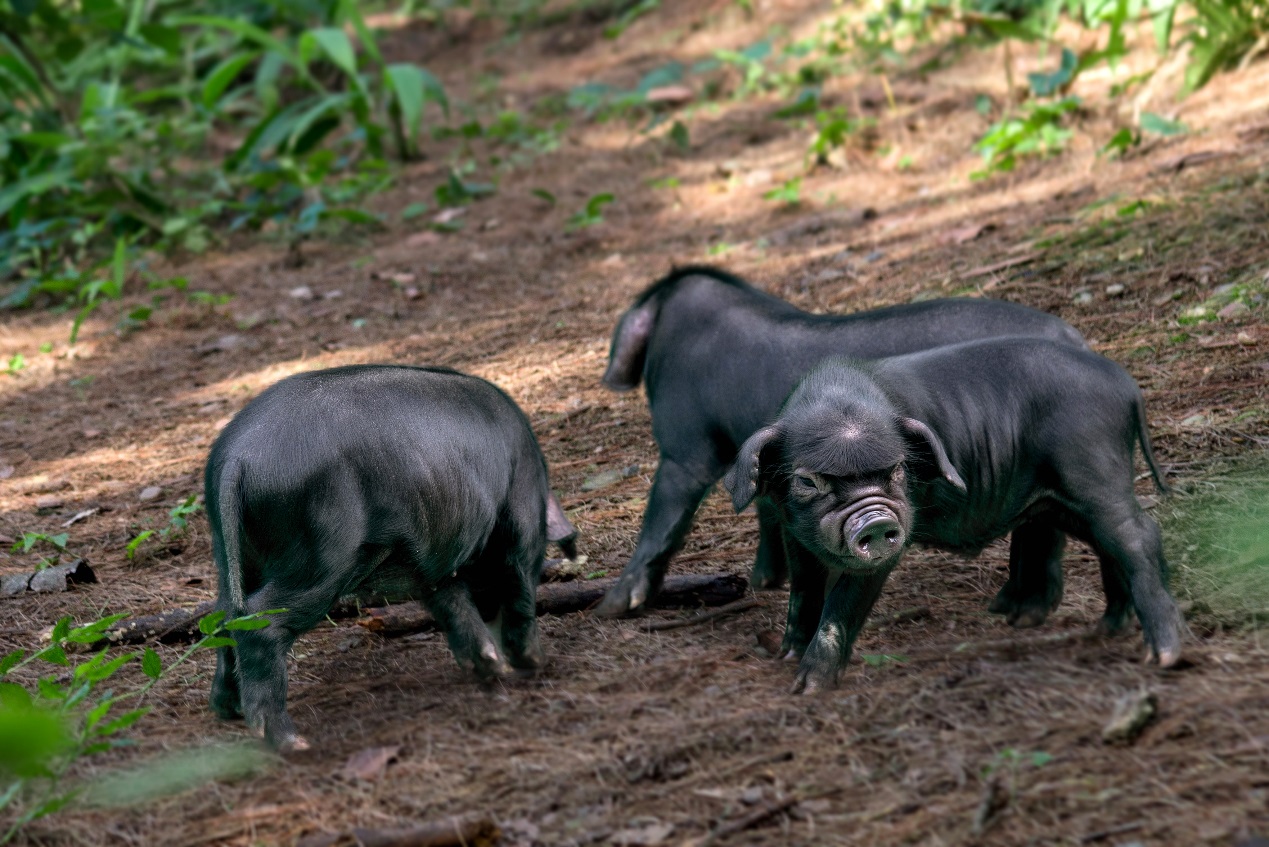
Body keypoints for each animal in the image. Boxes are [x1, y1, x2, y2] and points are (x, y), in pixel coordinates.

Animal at [205, 365, 578, 746]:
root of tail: (238, 458)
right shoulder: (519, 518)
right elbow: (517, 580)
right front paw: (532, 663)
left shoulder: (430, 560)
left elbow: (450, 602)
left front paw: (491, 667)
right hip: (319, 556)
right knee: (258, 620)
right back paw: (291, 741)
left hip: (232, 554)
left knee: (224, 616)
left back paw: (228, 710)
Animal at [588, 267, 1086, 619]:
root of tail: (1072, 336)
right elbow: (766, 511)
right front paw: (764, 582)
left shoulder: (684, 447)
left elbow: (662, 518)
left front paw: (611, 608)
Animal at [725, 337, 1177, 695]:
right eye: (807, 480)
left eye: (897, 469)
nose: (875, 520)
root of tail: (1124, 383)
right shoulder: (793, 531)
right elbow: (804, 588)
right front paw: (786, 656)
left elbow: (844, 603)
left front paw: (809, 688)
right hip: (1063, 502)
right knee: (1109, 545)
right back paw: (1106, 628)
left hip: (1095, 471)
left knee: (1140, 535)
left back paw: (1163, 656)